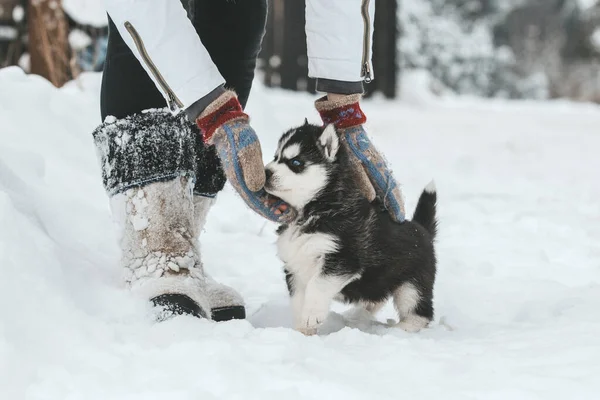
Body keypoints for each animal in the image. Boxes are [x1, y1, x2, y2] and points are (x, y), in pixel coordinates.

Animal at [264, 122, 438, 334]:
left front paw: (311, 316)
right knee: (377, 298)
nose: (265, 172)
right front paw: (302, 330)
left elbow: (317, 285)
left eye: (295, 162)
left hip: (411, 285)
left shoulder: (342, 259)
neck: (315, 208)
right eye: (276, 157)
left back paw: (399, 329)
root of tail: (422, 229)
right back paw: (356, 315)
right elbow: (298, 299)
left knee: (420, 312)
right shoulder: (294, 265)